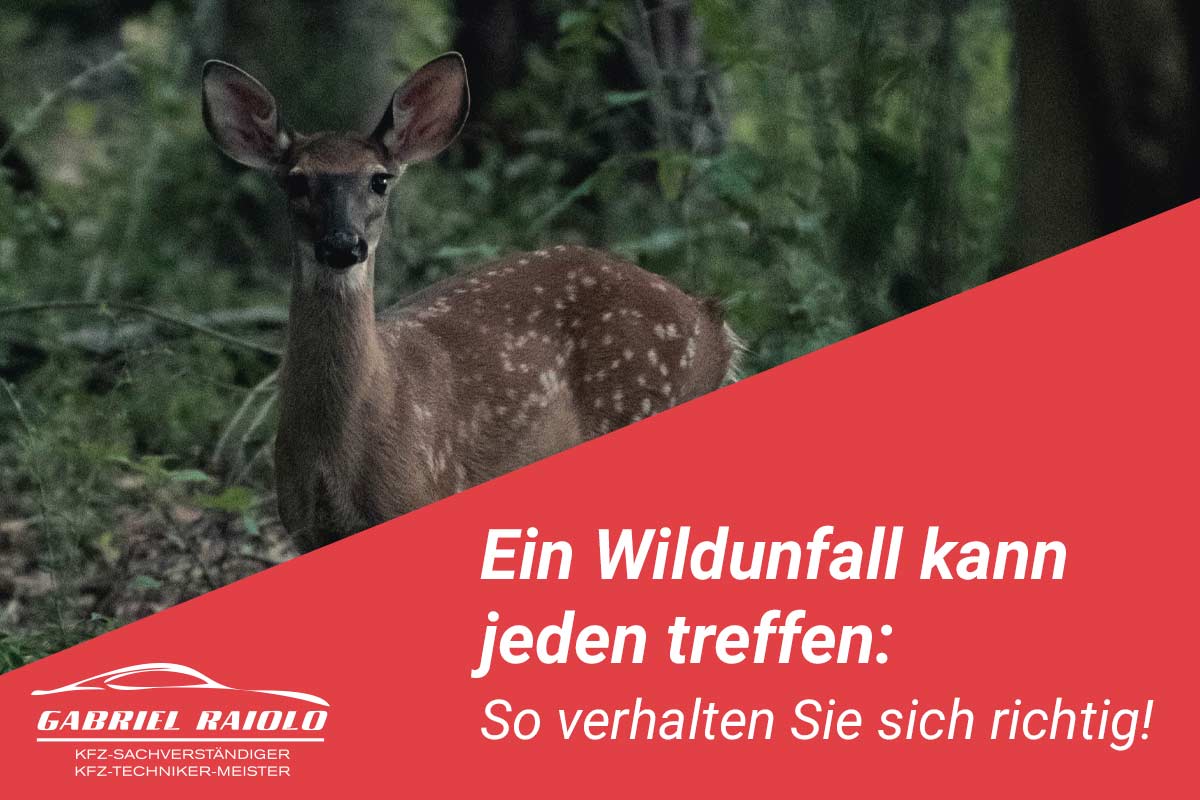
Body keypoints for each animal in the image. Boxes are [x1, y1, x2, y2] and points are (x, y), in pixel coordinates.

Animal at [201, 53, 743, 552]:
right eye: (295, 180)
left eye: (379, 179)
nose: (342, 244)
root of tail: (713, 323)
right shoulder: (307, 530)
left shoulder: (419, 497)